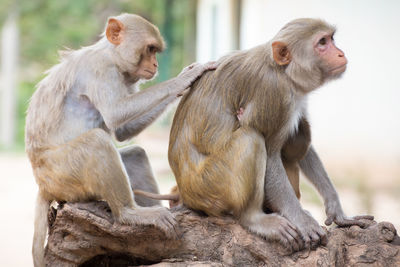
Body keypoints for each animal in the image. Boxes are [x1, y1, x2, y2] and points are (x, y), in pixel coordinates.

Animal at [25, 13, 217, 266]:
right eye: (150, 49)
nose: (155, 65)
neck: (112, 57)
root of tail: (43, 185)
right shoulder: (101, 69)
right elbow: (116, 114)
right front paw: (184, 78)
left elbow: (122, 131)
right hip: (62, 175)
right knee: (96, 142)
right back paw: (129, 214)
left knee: (135, 154)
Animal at [167, 17, 374, 252]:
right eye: (322, 42)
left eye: (331, 39)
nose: (340, 53)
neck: (283, 71)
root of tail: (186, 193)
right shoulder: (274, 96)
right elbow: (271, 154)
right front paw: (301, 220)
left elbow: (303, 149)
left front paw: (336, 209)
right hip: (209, 185)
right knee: (251, 139)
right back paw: (255, 219)